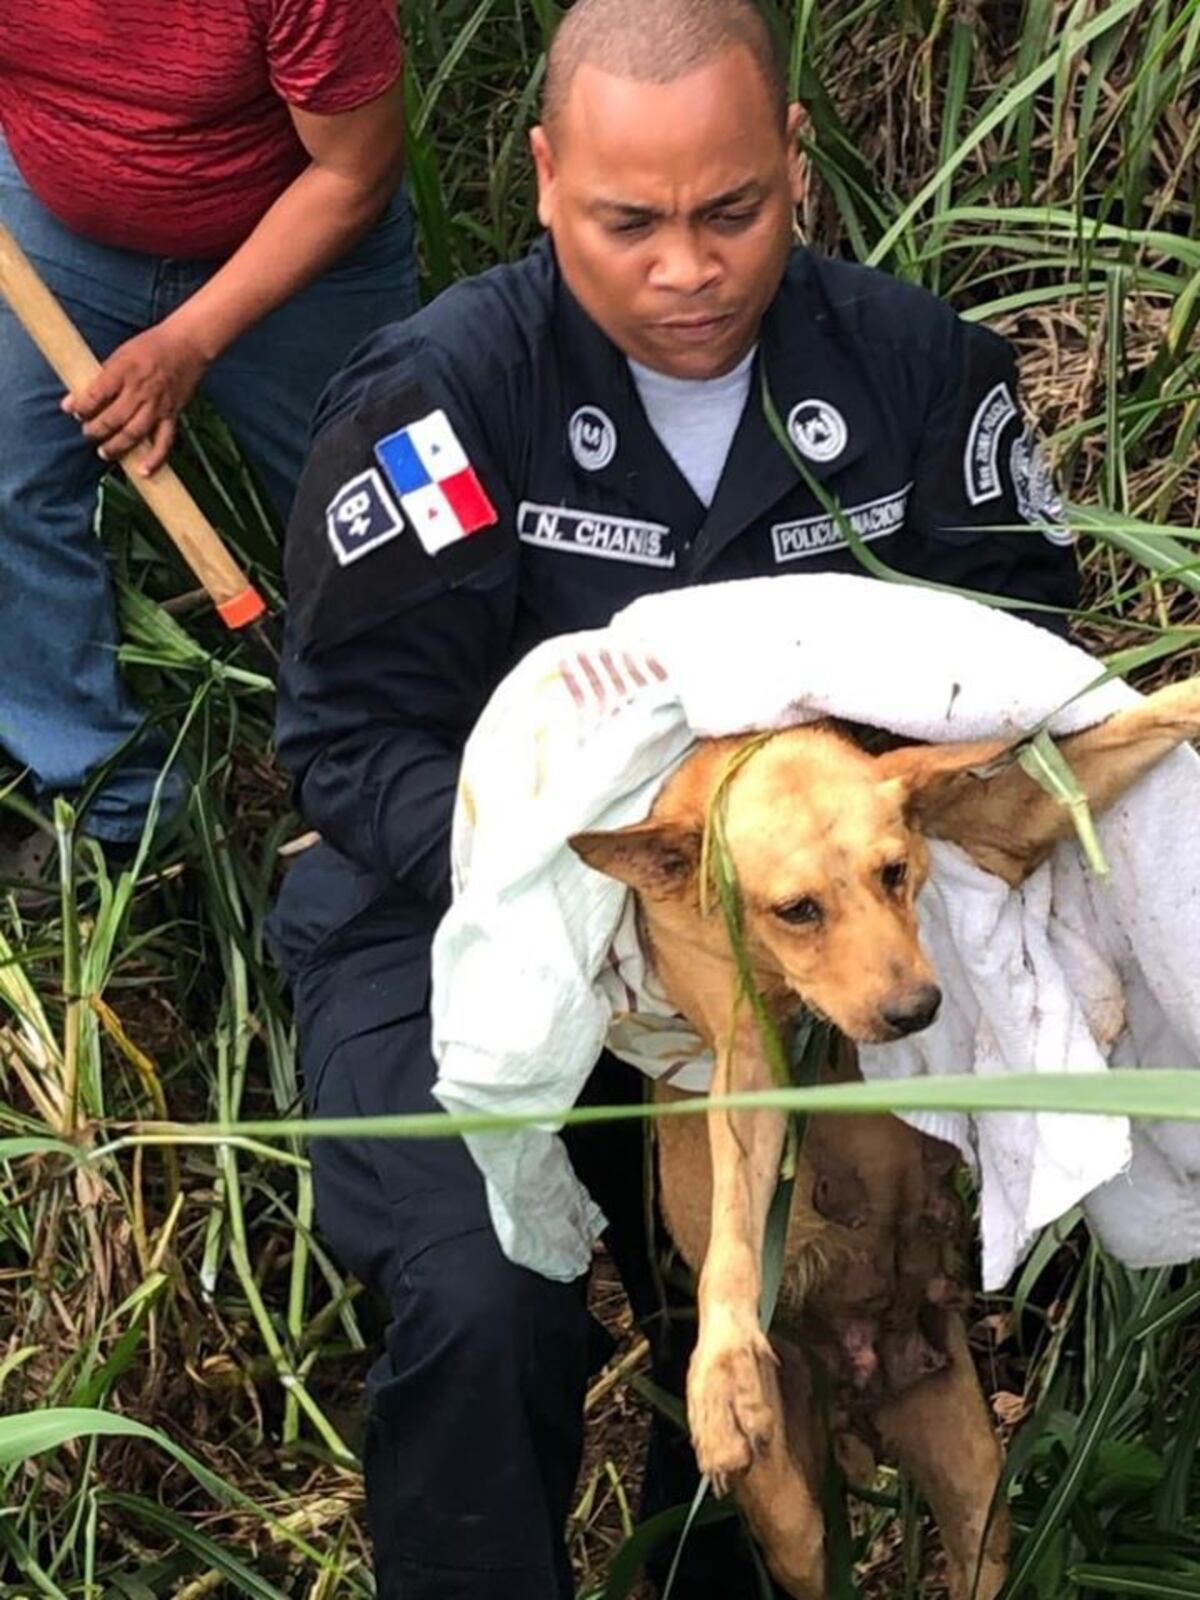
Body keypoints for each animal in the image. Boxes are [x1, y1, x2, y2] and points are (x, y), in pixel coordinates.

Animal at [569, 675, 1200, 1600]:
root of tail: (860, 1389)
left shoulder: (1008, 825)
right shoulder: (747, 1055)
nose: (916, 1012)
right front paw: (724, 1368)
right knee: (804, 1541)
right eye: (796, 910)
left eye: (895, 873)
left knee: (977, 1544)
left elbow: (1140, 722)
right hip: (792, 1521)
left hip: (975, 1484)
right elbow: (733, 1230)